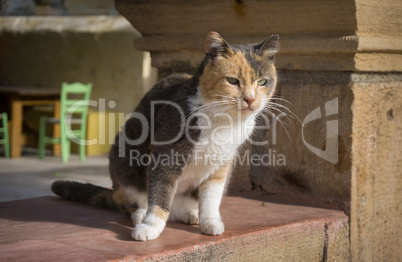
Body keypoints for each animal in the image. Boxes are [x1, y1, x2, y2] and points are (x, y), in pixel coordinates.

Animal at [51, 31, 280, 243]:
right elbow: (160, 194)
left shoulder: (222, 163)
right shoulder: (167, 156)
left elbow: (212, 197)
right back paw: (142, 215)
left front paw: (210, 221)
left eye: (262, 81)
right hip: (123, 159)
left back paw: (191, 214)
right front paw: (150, 226)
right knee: (130, 200)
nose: (250, 99)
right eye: (232, 80)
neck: (225, 121)